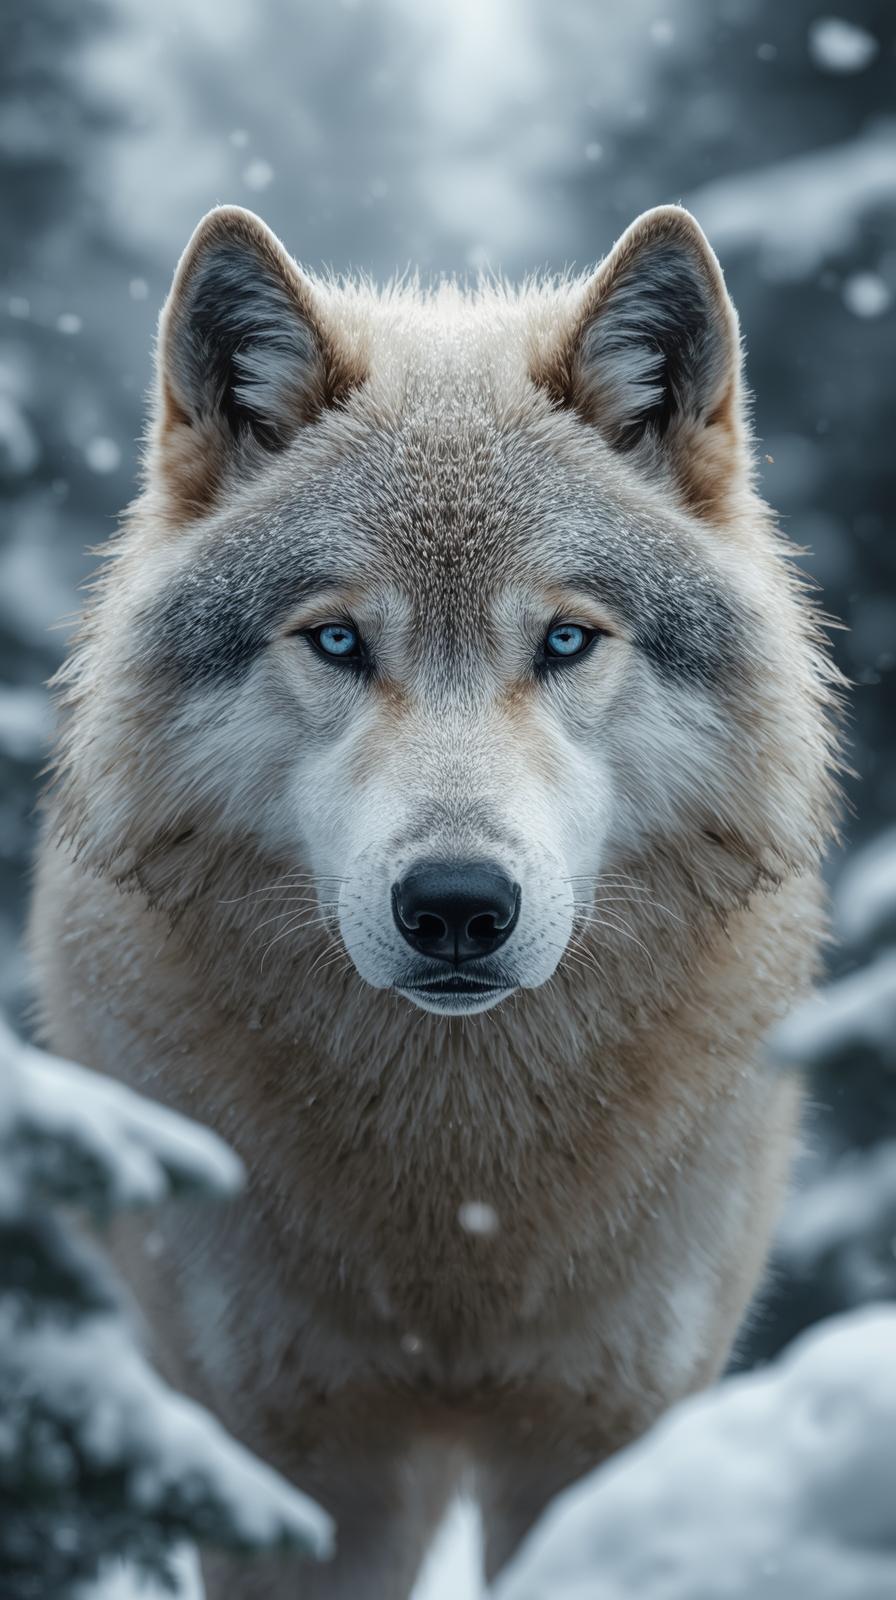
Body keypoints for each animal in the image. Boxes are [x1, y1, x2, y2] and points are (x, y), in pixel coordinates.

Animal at [29, 202, 839, 1597]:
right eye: (338, 640)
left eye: (563, 640)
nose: (457, 905)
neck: (458, 1209)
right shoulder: (291, 1463)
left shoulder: (603, 1427)